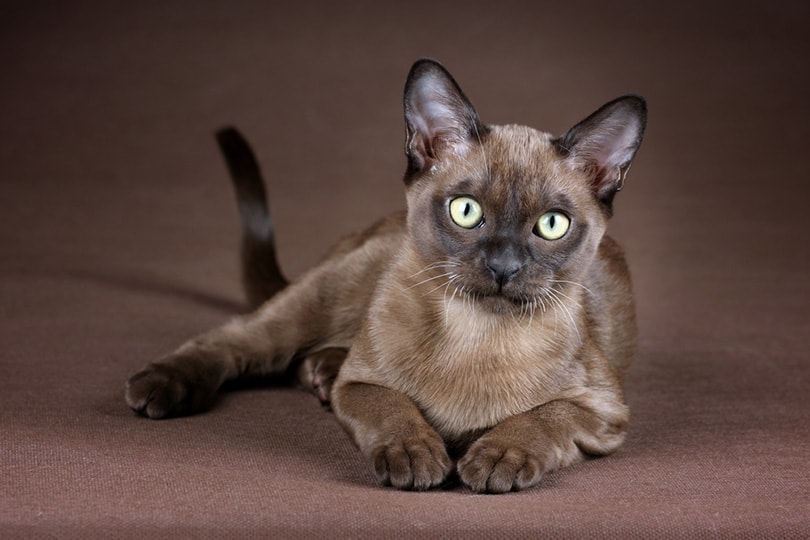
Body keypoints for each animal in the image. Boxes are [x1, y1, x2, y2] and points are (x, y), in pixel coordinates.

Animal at [124, 59, 644, 494]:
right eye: (467, 211)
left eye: (551, 225)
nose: (503, 267)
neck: (475, 333)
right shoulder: (362, 387)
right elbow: (394, 408)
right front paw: (416, 458)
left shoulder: (603, 411)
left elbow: (545, 417)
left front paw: (497, 459)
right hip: (319, 300)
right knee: (236, 340)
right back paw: (159, 388)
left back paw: (321, 373)